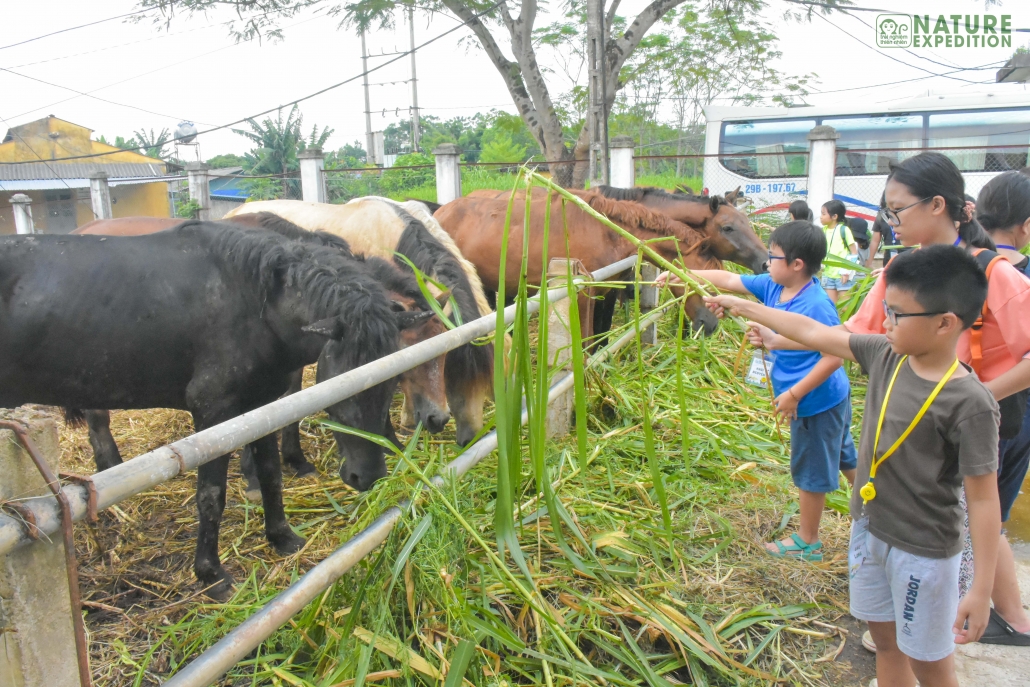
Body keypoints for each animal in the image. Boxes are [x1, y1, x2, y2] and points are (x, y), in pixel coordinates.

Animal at [2, 224, 449, 597]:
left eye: (393, 379)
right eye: (342, 381)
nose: (367, 477)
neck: (254, 306)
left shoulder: (261, 408)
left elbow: (270, 475)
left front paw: (282, 537)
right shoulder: (213, 417)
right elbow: (211, 496)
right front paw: (211, 575)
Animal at [434, 192, 725, 337]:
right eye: (702, 280)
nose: (712, 324)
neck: (606, 231)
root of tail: (439, 211)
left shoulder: (602, 295)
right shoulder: (582, 296)